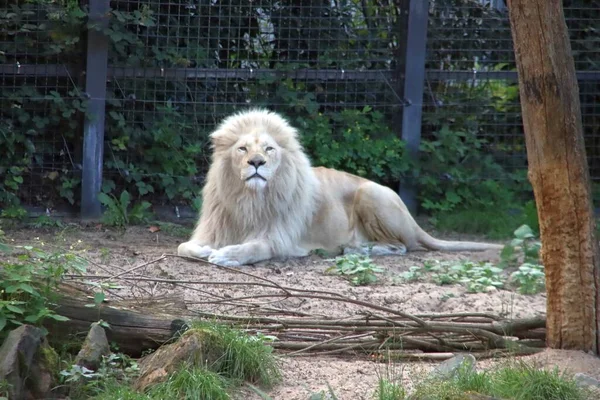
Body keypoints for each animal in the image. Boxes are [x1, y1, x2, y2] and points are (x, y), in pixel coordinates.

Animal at [177, 108, 502, 268]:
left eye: (269, 149)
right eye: (242, 148)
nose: (256, 162)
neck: (250, 199)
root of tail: (413, 222)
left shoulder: (282, 239)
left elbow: (255, 247)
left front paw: (227, 255)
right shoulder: (214, 228)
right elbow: (184, 247)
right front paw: (206, 251)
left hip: (371, 193)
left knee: (400, 247)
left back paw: (355, 250)